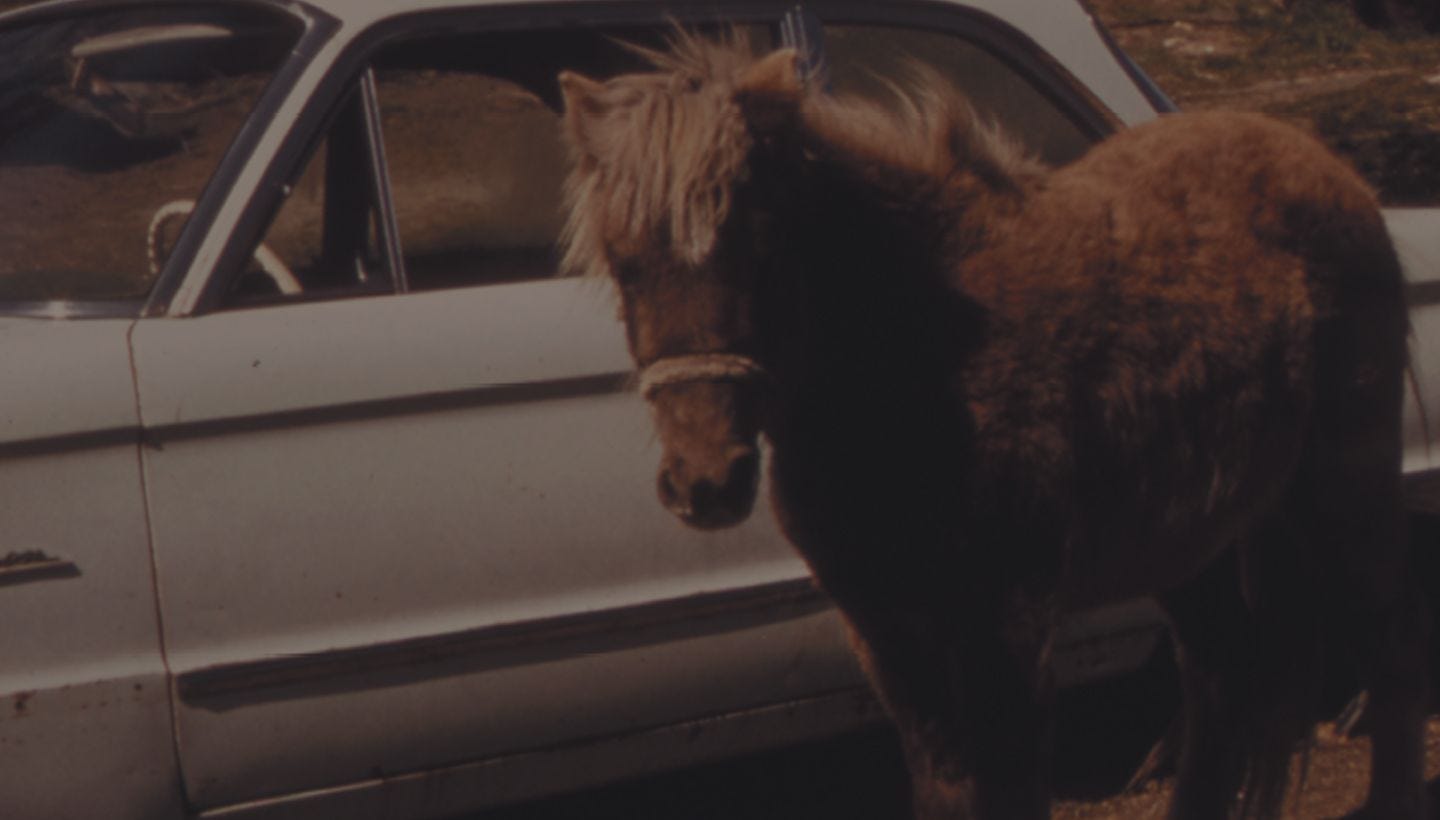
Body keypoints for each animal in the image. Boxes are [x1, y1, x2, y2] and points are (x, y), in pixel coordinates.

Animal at [555, 33, 1422, 818]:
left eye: (763, 247)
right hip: (1191, 538)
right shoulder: (886, 626)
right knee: (1219, 679)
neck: (916, 362)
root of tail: (1327, 164)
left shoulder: (1007, 623)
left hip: (1345, 489)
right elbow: (944, 785)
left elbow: (1009, 787)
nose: (707, 479)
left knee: (1389, 643)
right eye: (624, 265)